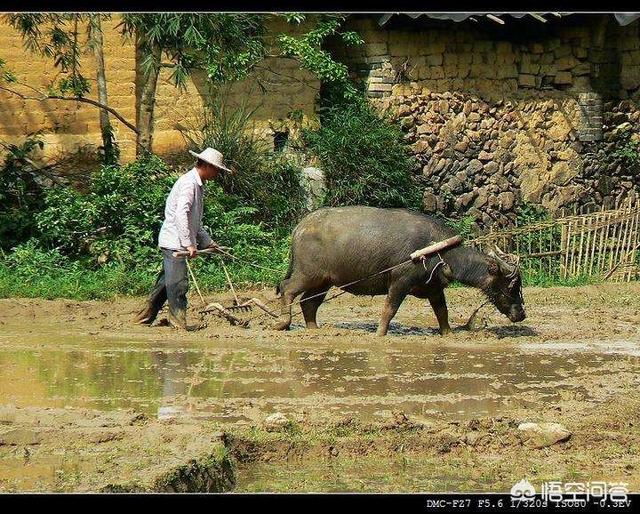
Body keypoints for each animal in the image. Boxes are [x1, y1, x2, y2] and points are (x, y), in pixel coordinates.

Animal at [272, 206, 528, 334]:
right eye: (513, 285)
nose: (522, 314)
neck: (437, 251)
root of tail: (299, 227)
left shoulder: (434, 288)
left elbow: (442, 312)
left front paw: (448, 333)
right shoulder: (399, 282)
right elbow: (390, 310)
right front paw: (380, 333)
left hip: (325, 281)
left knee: (309, 302)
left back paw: (313, 329)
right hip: (308, 273)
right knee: (287, 289)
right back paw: (283, 323)